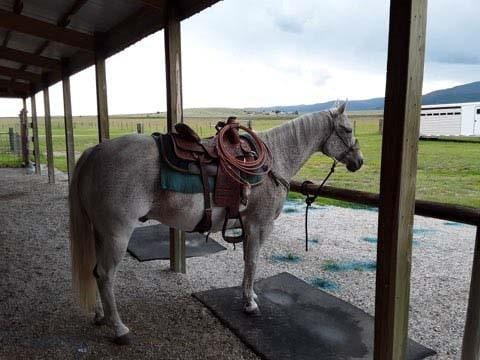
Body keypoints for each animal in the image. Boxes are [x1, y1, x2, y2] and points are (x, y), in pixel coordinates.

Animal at [69, 102, 362, 344]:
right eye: (347, 129)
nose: (359, 161)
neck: (273, 160)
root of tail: (95, 151)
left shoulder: (248, 227)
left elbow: (247, 261)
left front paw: (249, 295)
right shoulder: (258, 225)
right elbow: (253, 262)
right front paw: (250, 304)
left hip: (100, 233)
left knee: (95, 272)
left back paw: (100, 316)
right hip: (116, 234)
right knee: (105, 275)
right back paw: (119, 329)